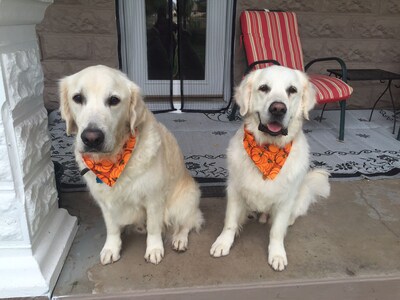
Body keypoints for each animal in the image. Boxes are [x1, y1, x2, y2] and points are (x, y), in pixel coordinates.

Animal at [60, 65, 203, 264]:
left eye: (114, 100)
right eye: (78, 98)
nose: (92, 138)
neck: (113, 162)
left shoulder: (154, 198)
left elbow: (154, 227)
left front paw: (154, 249)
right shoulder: (105, 202)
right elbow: (112, 228)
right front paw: (111, 248)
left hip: (185, 201)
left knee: (188, 222)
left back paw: (180, 239)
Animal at [211, 66, 330, 272]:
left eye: (292, 90)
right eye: (264, 88)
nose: (278, 108)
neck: (268, 149)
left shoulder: (286, 199)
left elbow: (277, 231)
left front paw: (277, 254)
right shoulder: (234, 190)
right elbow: (230, 222)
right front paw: (223, 242)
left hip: (301, 194)